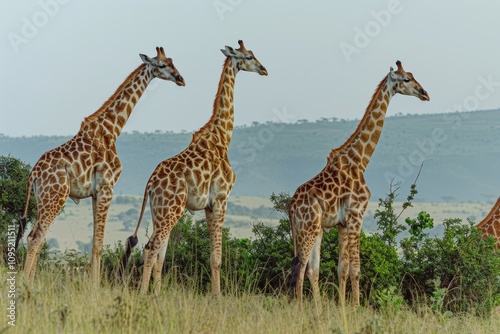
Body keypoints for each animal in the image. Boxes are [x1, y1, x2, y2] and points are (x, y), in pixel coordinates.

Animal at [17, 46, 188, 284]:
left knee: (39, 238)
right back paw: (26, 284)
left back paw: (32, 283)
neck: (112, 129)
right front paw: (94, 287)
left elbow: (94, 242)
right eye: (162, 65)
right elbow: (98, 243)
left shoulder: (95, 192)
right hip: (55, 197)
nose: (181, 79)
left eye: (173, 62)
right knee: (35, 237)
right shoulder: (108, 186)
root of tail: (33, 174)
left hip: (43, 199)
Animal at [121, 40, 268, 294]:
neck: (222, 137)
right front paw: (217, 296)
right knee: (151, 248)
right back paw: (142, 294)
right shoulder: (221, 198)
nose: (264, 69)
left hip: (159, 211)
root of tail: (150, 184)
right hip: (172, 209)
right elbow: (217, 257)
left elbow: (211, 255)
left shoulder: (208, 205)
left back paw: (156, 294)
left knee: (159, 253)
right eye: (249, 56)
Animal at [290, 60, 430, 306]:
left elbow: (342, 269)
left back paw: (317, 310)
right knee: (300, 268)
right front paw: (356, 308)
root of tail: (290, 206)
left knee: (311, 269)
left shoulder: (342, 223)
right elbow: (355, 269)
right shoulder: (357, 216)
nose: (425, 94)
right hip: (308, 228)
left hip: (314, 229)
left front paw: (343, 307)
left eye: (413, 75)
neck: (360, 160)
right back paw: (300, 309)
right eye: (406, 79)